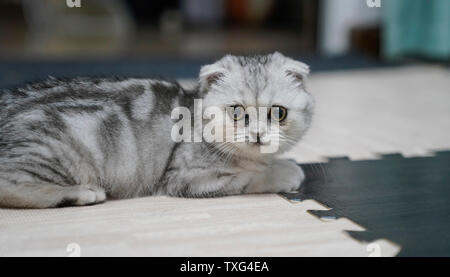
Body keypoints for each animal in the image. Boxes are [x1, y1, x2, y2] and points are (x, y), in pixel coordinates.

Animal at [0, 51, 312, 207]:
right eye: (236, 113)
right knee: (9, 185)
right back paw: (81, 193)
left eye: (278, 113)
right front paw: (285, 171)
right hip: (56, 148)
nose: (258, 135)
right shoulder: (187, 178)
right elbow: (251, 177)